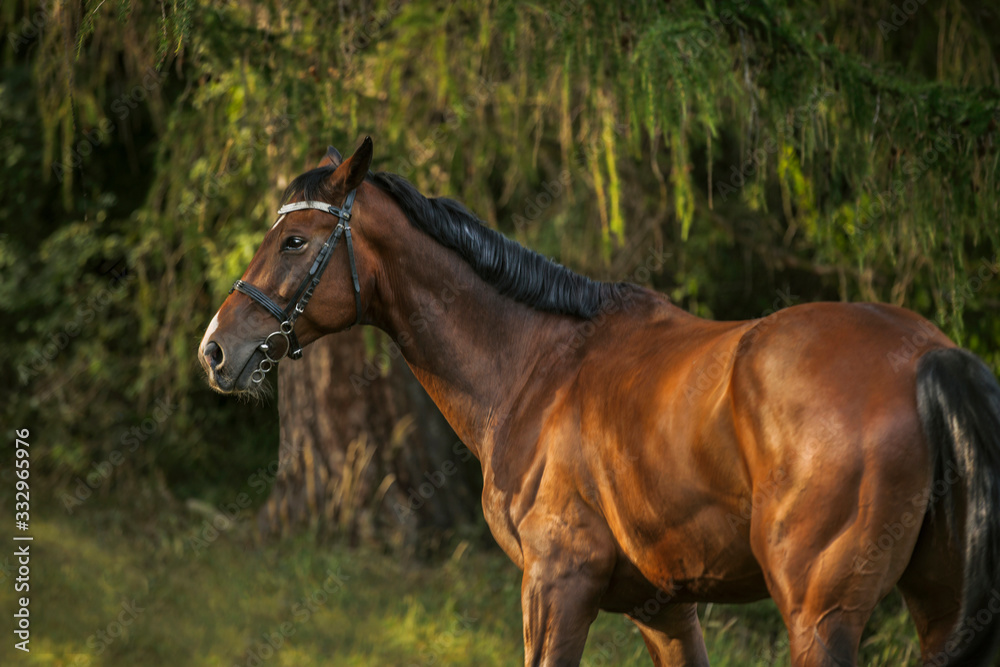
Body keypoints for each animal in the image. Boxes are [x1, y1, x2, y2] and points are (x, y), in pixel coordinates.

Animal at [198, 137, 1000, 666]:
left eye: (295, 240)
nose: (216, 349)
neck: (536, 364)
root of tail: (926, 355)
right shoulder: (667, 607)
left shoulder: (556, 585)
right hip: (934, 606)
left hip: (818, 614)